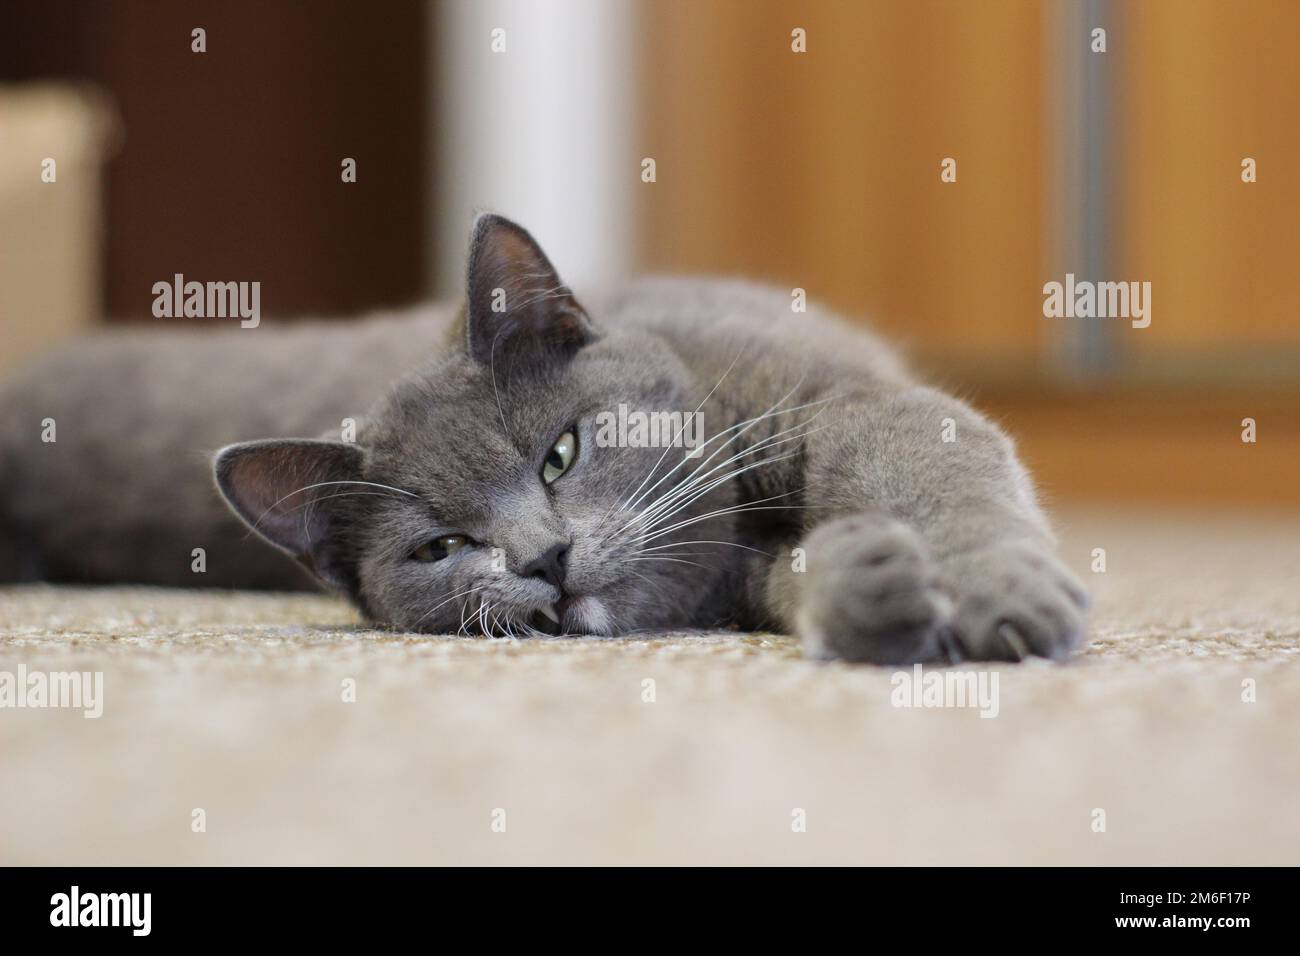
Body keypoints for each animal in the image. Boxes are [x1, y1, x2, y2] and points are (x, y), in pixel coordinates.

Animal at [0, 214, 1086, 665]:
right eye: (442, 547)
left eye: (559, 454)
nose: (544, 559)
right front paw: (872, 588)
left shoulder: (843, 399)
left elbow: (932, 467)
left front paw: (1000, 598)